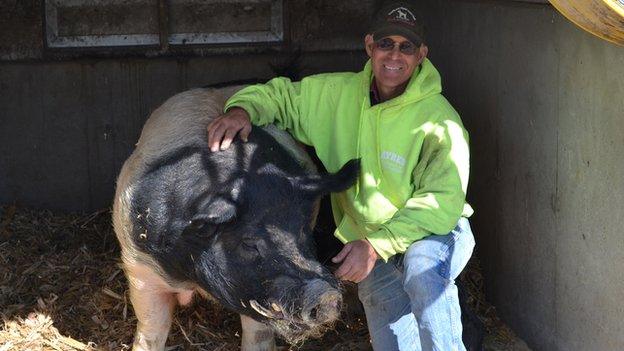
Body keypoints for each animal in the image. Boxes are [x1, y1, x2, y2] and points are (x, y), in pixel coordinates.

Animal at [109, 86, 358, 351]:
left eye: (302, 230)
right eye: (248, 242)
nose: (325, 294)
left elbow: (257, 333)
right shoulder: (139, 265)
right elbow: (152, 325)